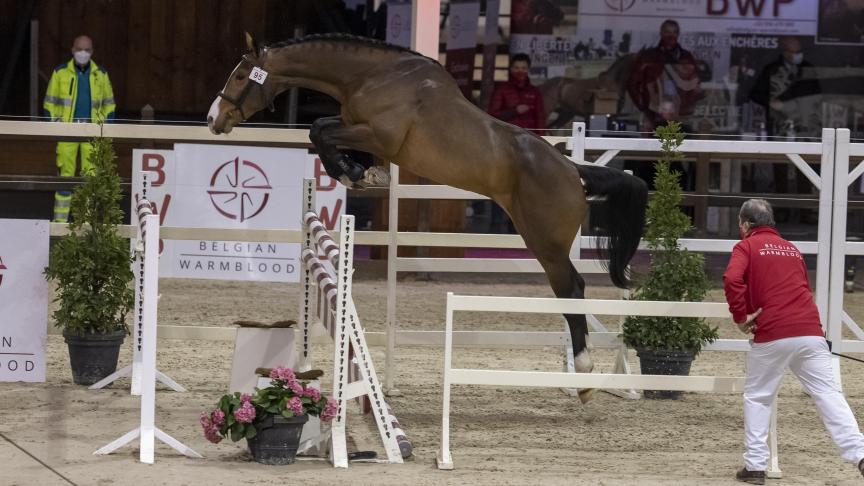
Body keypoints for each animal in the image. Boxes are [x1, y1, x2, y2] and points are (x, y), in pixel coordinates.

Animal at [208, 33, 648, 403]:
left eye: (243, 74)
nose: (215, 119)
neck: (375, 77)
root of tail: (573, 170)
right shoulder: (355, 125)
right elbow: (322, 128)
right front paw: (361, 172)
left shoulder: (378, 135)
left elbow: (320, 130)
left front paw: (354, 172)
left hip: (545, 243)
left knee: (571, 289)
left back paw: (585, 378)